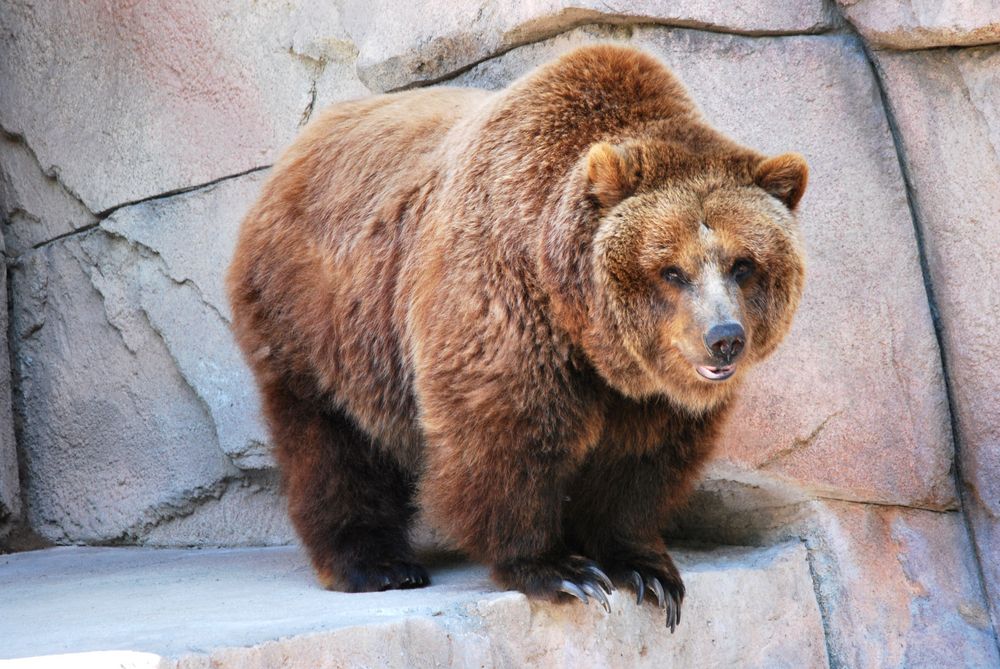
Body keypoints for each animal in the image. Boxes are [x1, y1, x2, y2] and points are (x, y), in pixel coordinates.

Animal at [227, 43, 807, 629]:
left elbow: (642, 460)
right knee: (334, 439)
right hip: (323, 317)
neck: (586, 328)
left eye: (743, 264)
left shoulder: (647, 392)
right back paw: (376, 564)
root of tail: (298, 147)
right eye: (671, 269)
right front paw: (559, 570)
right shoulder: (504, 297)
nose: (724, 337)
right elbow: (506, 431)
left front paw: (646, 570)